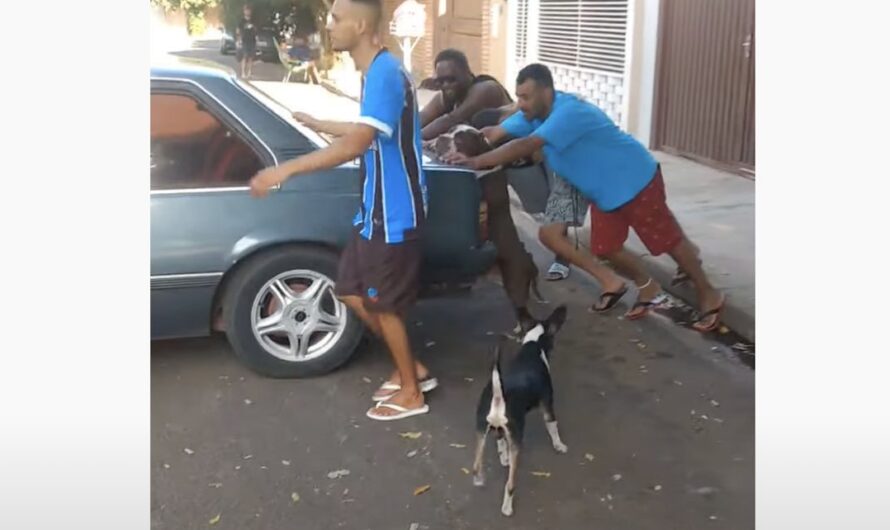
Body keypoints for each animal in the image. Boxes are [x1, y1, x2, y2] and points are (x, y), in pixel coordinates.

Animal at [472, 304, 568, 512]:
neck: (533, 346)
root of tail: (498, 397)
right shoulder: (548, 406)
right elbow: (553, 428)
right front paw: (559, 445)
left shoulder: (499, 430)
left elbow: (500, 442)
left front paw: (503, 457)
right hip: (516, 440)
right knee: (510, 483)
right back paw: (507, 508)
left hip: (481, 430)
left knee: (476, 465)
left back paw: (480, 479)